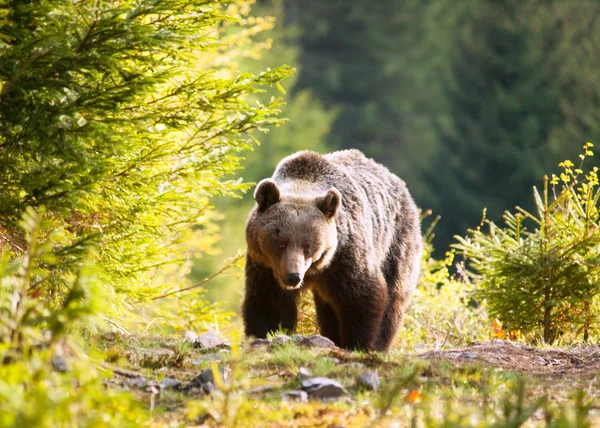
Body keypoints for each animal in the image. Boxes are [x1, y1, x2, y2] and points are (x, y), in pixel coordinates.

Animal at [240, 149, 422, 350]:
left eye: (308, 246)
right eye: (280, 242)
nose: (293, 276)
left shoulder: (344, 256)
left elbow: (361, 296)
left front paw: (359, 344)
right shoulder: (265, 266)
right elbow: (269, 303)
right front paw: (264, 334)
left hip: (395, 244)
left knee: (393, 298)